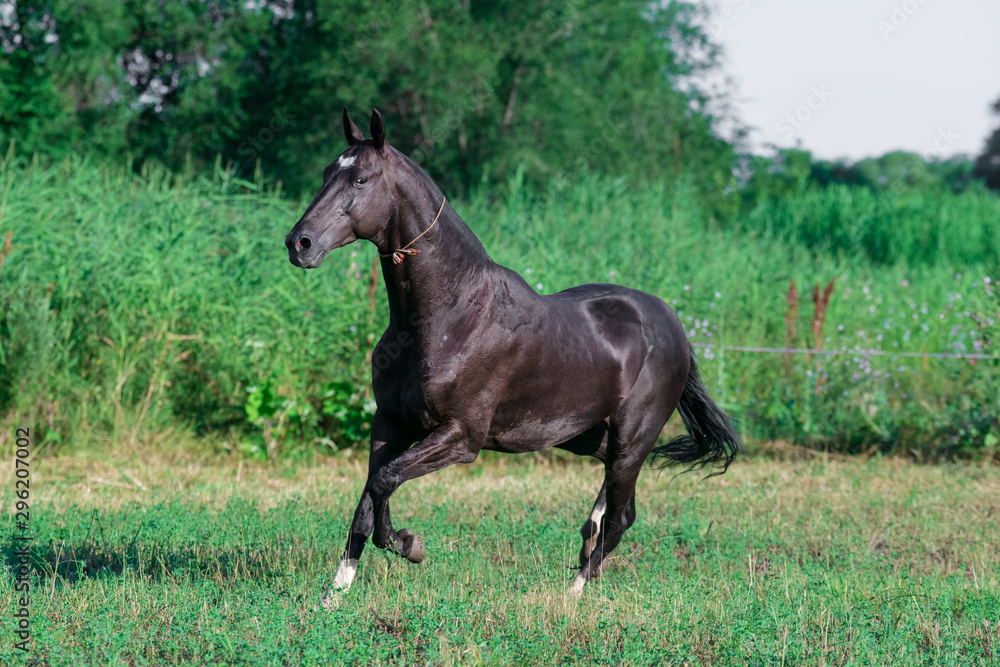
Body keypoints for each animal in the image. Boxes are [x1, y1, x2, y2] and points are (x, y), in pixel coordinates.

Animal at [286, 111, 740, 604]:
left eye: (361, 178)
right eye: (327, 173)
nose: (299, 243)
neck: (449, 317)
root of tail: (673, 325)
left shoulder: (460, 437)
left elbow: (386, 481)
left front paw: (409, 545)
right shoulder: (389, 423)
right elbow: (368, 498)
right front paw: (335, 593)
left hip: (632, 441)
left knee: (619, 518)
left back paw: (573, 592)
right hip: (589, 437)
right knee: (610, 516)